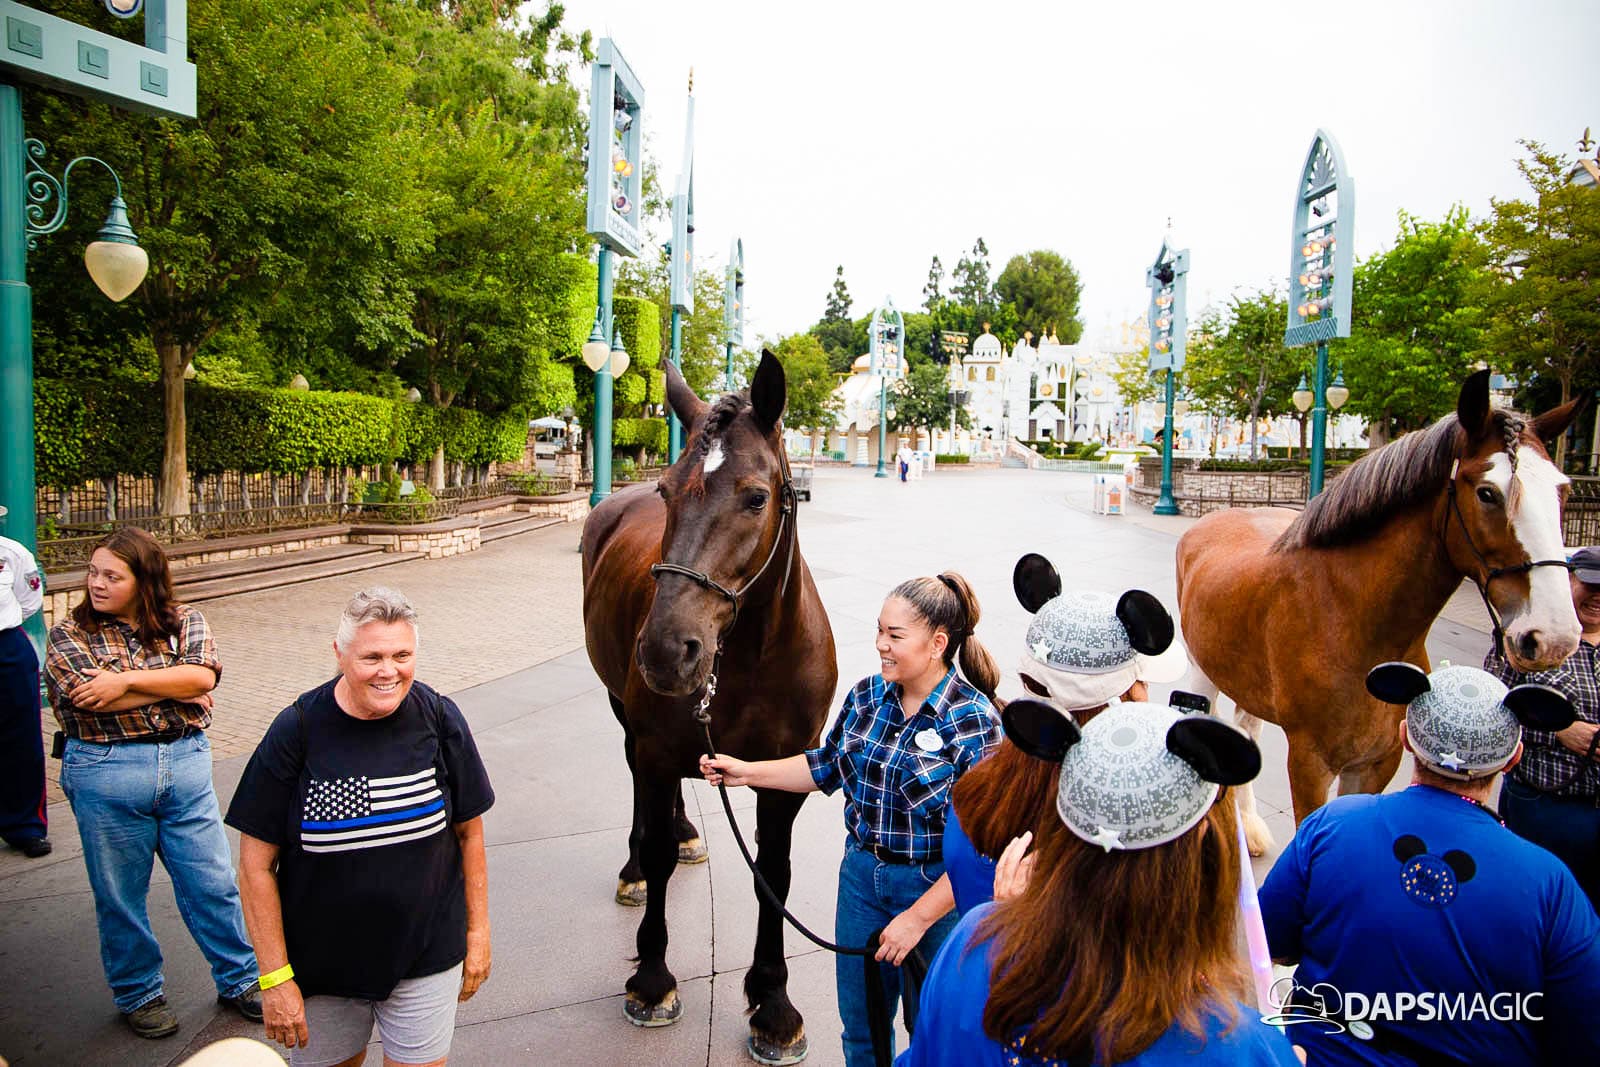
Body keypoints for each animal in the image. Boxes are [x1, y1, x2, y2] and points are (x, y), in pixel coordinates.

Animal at [581, 350, 837, 1064]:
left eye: (756, 496)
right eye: (668, 491)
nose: (669, 650)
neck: (749, 659)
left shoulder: (786, 775)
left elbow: (772, 873)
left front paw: (772, 1004)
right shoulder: (658, 748)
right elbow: (658, 850)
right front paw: (652, 979)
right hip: (626, 713)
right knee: (640, 793)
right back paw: (640, 863)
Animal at [1176, 370, 1583, 855]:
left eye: (1563, 491)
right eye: (1488, 493)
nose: (1554, 635)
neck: (1353, 620)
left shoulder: (1377, 760)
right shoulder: (1310, 762)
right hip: (1204, 670)